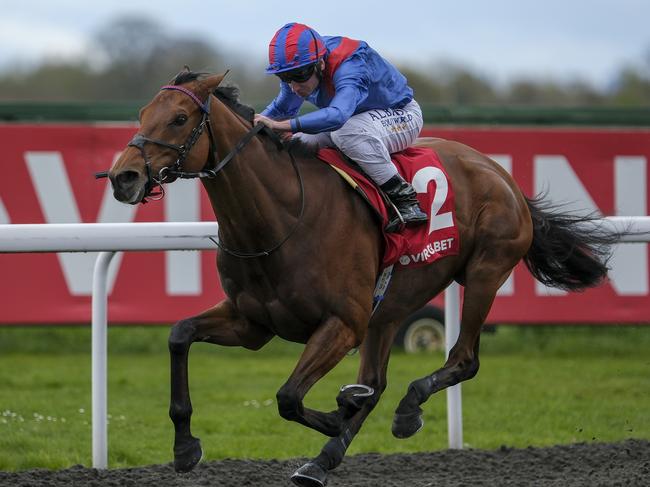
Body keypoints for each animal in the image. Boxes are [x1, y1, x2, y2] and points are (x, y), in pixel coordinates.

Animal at [106, 69, 616, 487]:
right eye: (143, 113)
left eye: (178, 118)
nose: (122, 176)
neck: (280, 217)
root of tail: (499, 172)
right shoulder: (251, 324)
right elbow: (179, 335)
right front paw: (185, 447)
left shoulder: (343, 323)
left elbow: (288, 396)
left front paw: (338, 413)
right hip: (387, 310)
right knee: (378, 380)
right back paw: (323, 458)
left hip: (485, 270)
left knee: (463, 358)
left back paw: (405, 412)